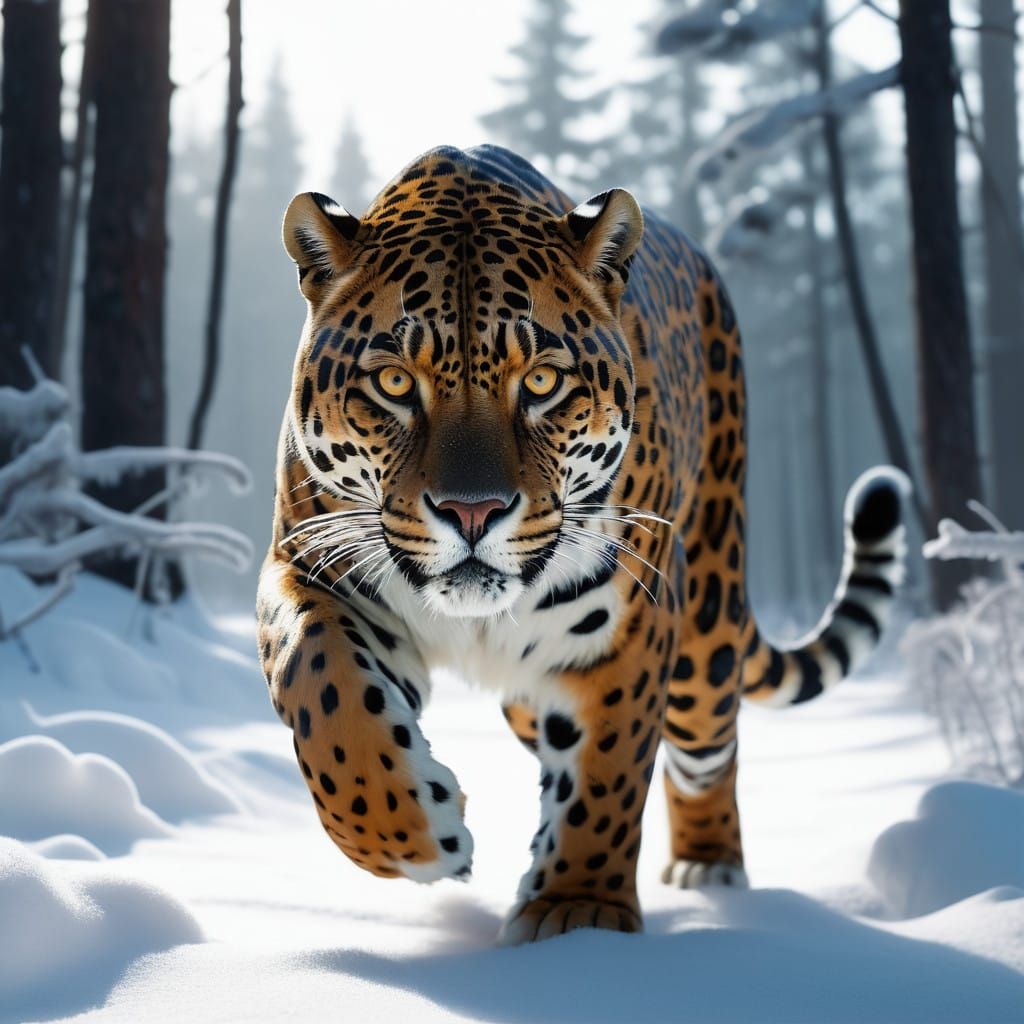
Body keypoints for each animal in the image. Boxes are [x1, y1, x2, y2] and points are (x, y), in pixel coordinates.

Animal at [256, 144, 907, 945]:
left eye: (541, 381)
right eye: (395, 384)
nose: (472, 512)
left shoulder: (627, 624)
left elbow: (608, 771)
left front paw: (577, 911)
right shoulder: (309, 564)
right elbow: (322, 687)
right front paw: (414, 837)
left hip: (706, 625)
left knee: (705, 748)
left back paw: (711, 869)